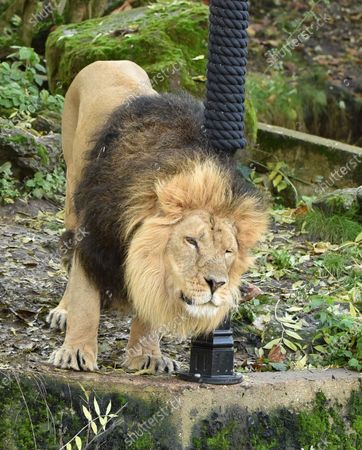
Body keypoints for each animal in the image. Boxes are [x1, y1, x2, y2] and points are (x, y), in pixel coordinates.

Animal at [46, 61, 268, 374]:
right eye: (191, 241)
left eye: (228, 251)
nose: (217, 284)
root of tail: (108, 61)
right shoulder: (94, 234)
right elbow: (85, 298)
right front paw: (75, 353)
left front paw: (147, 356)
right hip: (71, 192)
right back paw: (63, 311)